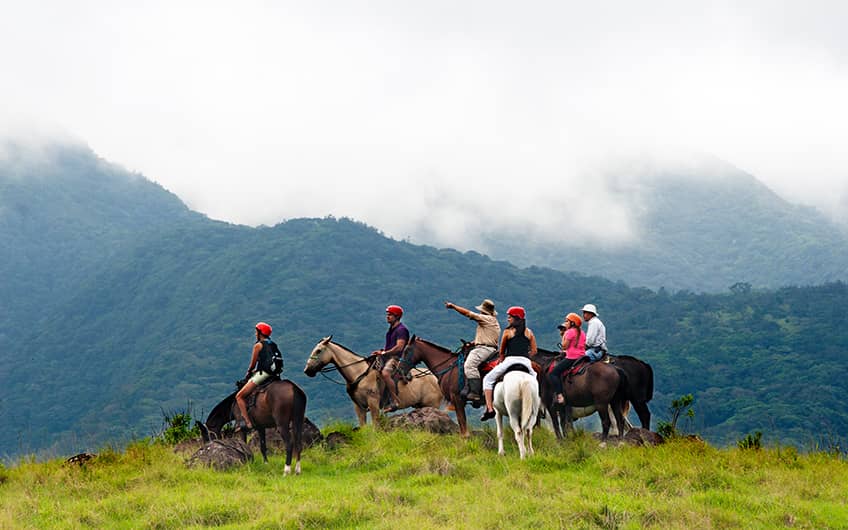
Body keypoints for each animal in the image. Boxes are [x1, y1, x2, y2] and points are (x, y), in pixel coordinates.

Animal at [302, 334, 440, 424]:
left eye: (319, 350)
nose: (307, 370)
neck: (359, 373)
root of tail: (435, 377)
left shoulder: (373, 403)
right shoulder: (359, 407)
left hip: (432, 404)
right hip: (420, 405)